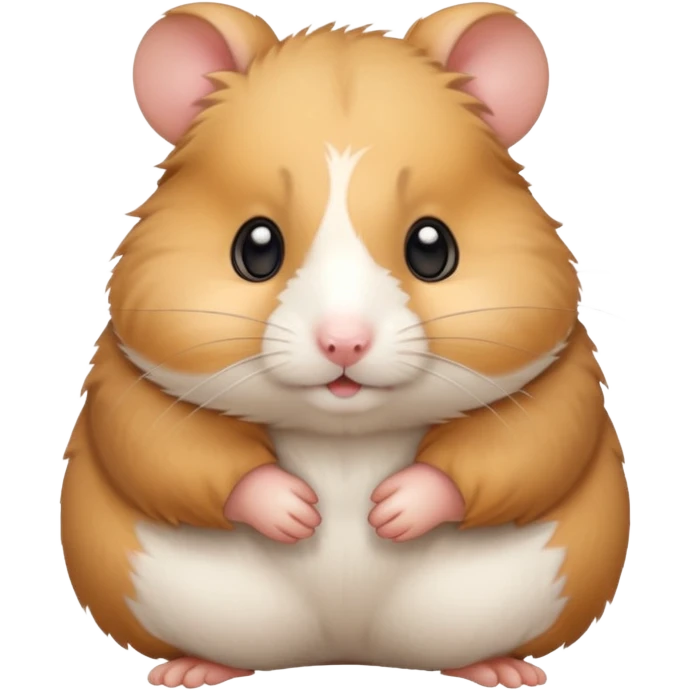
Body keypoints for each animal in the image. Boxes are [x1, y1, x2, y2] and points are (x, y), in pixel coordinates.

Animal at [59, 2, 631, 688]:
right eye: (255, 247)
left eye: (433, 247)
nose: (344, 345)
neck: (344, 438)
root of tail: (346, 649)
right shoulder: (126, 378)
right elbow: (162, 446)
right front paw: (298, 512)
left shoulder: (559, 376)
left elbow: (531, 444)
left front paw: (391, 511)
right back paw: (188, 670)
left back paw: (504, 669)